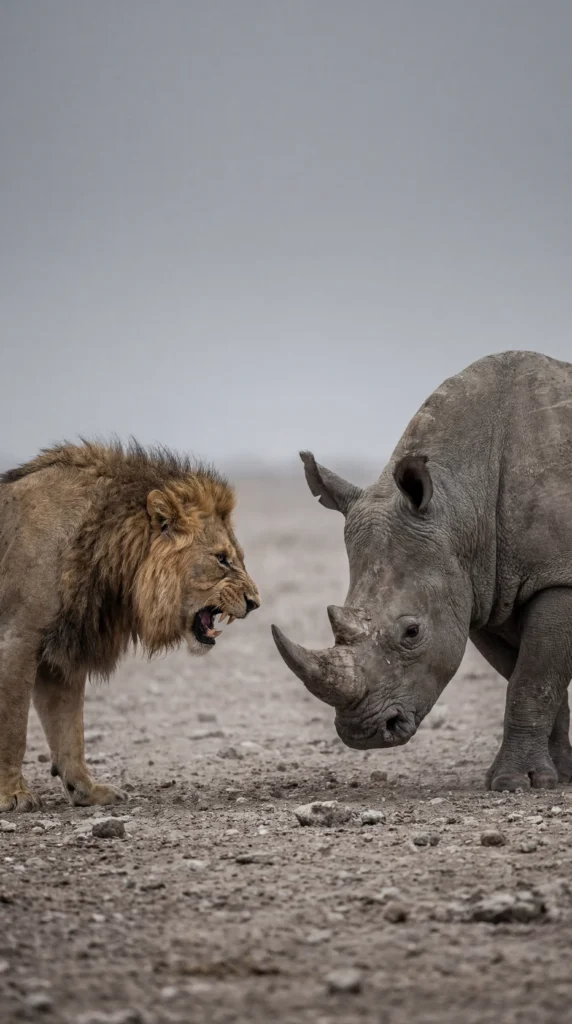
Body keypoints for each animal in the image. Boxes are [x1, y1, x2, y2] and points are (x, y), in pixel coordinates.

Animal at [272, 350, 572, 792]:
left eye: (411, 632)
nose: (364, 734)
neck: (460, 503)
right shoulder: (484, 589)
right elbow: (535, 679)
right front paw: (558, 776)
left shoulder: (558, 577)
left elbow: (533, 681)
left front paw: (515, 783)